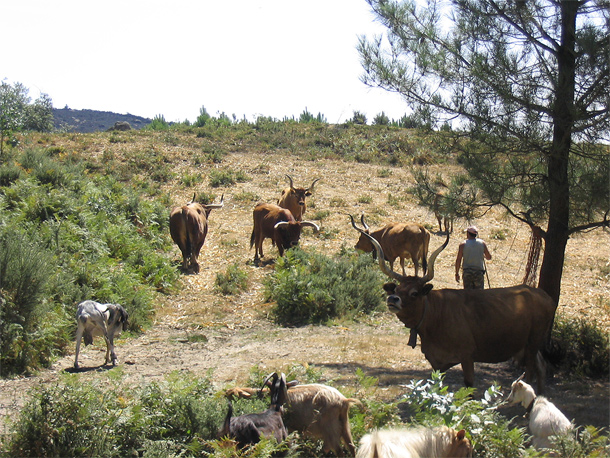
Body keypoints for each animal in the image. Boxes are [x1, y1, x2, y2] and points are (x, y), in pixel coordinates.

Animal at [352, 216, 556, 392]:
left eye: (415, 293)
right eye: (397, 289)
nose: (392, 300)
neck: (435, 315)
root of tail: (544, 296)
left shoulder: (467, 356)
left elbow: (469, 387)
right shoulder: (437, 362)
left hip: (533, 343)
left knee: (530, 373)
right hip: (528, 344)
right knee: (542, 367)